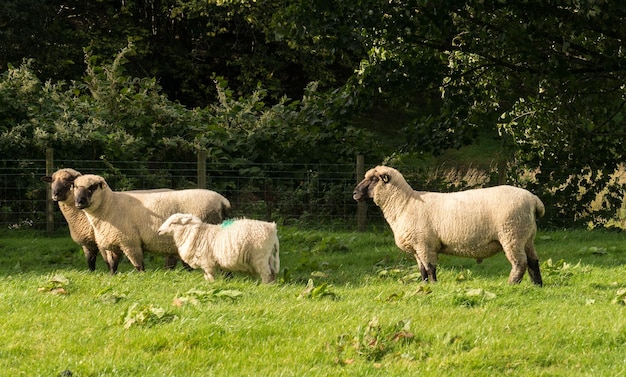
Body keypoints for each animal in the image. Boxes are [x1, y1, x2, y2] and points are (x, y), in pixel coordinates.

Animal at [71, 173, 232, 274]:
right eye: (76, 187)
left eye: (92, 187)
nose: (79, 202)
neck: (110, 206)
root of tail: (223, 201)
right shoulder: (113, 243)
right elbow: (112, 265)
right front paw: (112, 277)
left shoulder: (130, 242)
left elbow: (138, 265)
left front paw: (142, 277)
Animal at [354, 164, 544, 284]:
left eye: (373, 179)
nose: (354, 193)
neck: (404, 203)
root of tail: (533, 200)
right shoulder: (418, 247)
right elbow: (422, 270)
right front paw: (424, 286)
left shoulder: (425, 245)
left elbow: (430, 268)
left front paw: (434, 286)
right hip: (526, 237)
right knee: (533, 261)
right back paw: (537, 285)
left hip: (511, 234)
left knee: (520, 263)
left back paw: (512, 284)